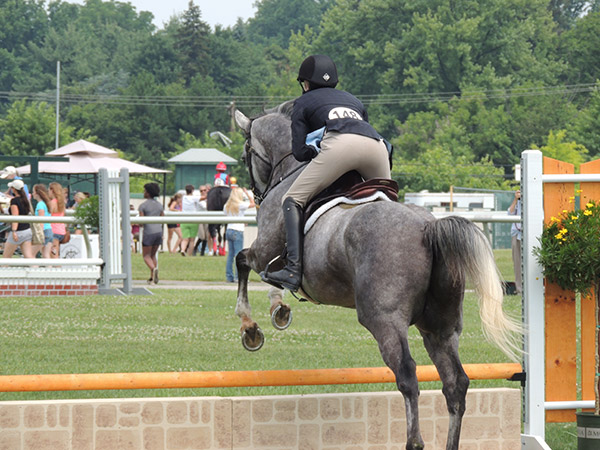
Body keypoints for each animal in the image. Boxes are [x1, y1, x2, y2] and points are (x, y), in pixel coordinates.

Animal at [230, 102, 520, 450]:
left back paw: (414, 441)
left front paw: (251, 328)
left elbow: (243, 261)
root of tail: (429, 227)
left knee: (408, 376)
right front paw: (279, 310)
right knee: (455, 382)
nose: (258, 196)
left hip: (384, 320)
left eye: (246, 153)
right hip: (441, 326)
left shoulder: (264, 252)